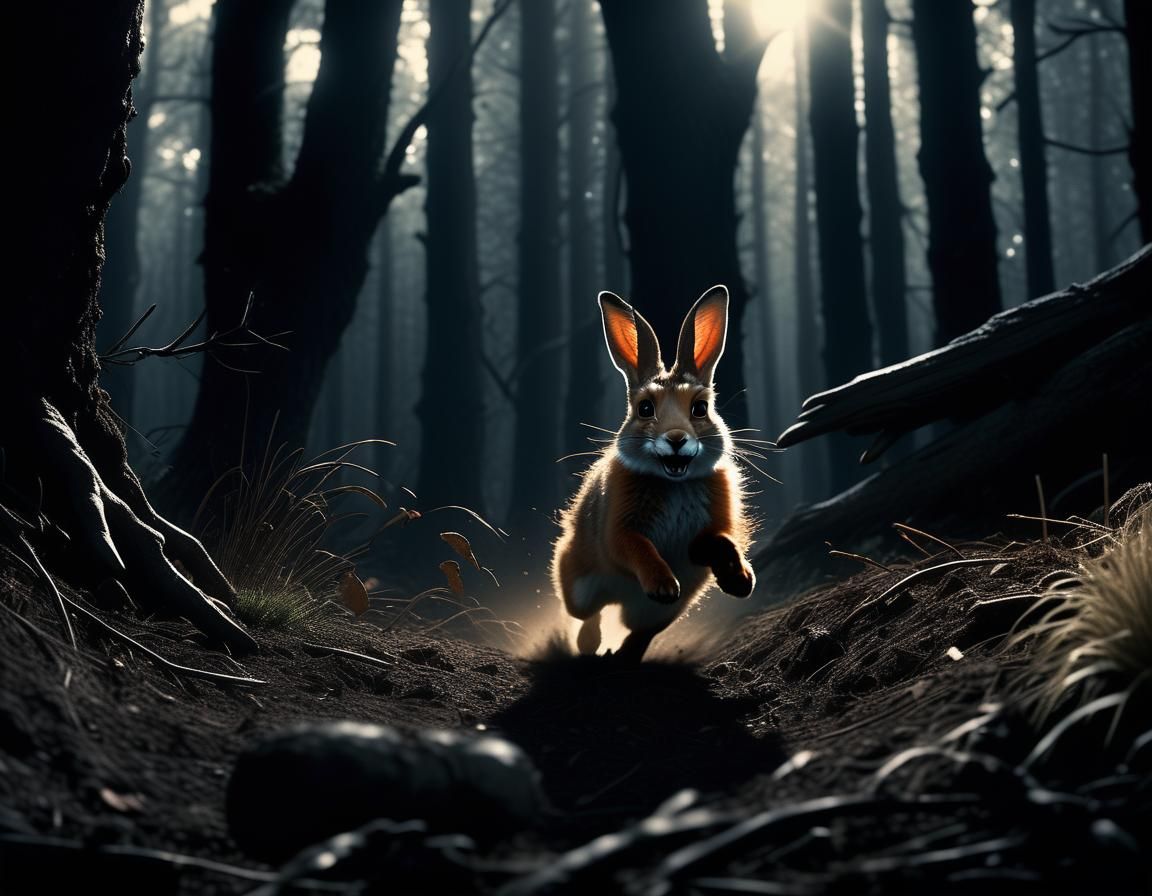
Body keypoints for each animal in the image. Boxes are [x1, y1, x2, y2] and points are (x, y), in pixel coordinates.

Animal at [551, 285, 756, 662]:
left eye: (700, 408)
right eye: (645, 408)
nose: (676, 440)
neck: (674, 482)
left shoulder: (708, 531)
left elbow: (721, 542)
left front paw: (740, 580)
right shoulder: (619, 530)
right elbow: (636, 547)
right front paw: (663, 584)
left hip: (664, 614)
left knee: (642, 632)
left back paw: (622, 655)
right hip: (579, 586)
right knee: (588, 616)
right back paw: (591, 646)